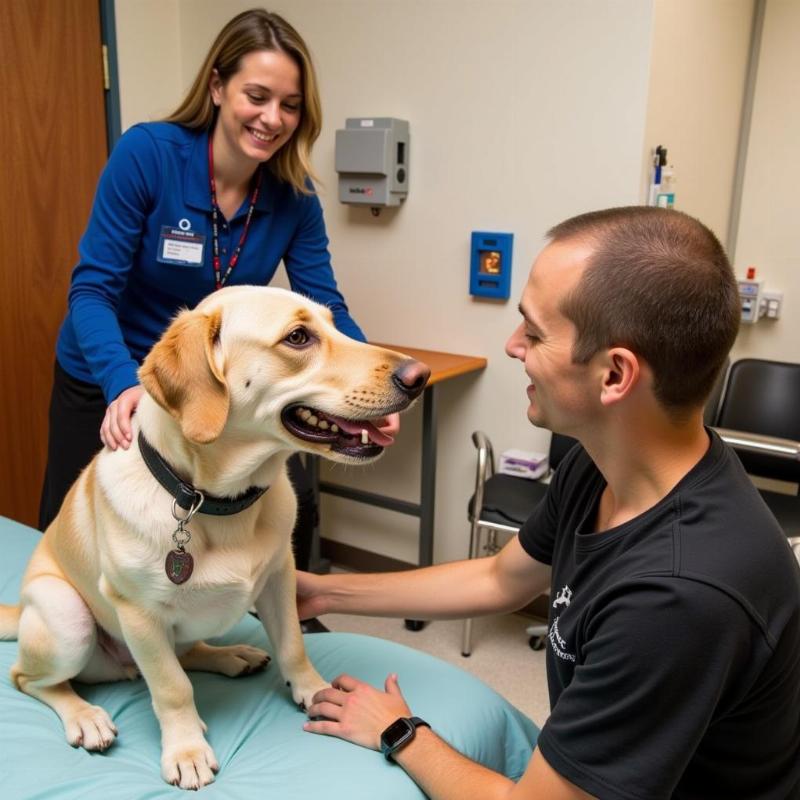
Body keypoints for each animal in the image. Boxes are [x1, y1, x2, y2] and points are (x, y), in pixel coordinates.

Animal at [0, 286, 432, 788]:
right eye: (298, 337)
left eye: (334, 323)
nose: (419, 375)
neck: (216, 502)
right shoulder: (139, 615)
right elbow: (172, 687)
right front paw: (186, 750)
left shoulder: (280, 577)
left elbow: (293, 644)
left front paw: (312, 689)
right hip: (67, 617)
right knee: (30, 679)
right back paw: (85, 716)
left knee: (188, 652)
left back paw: (232, 656)